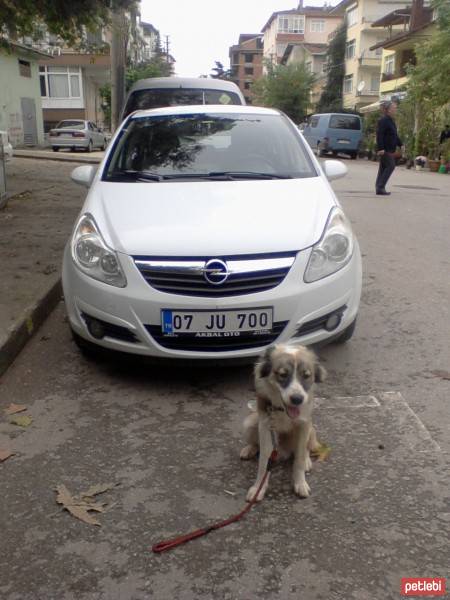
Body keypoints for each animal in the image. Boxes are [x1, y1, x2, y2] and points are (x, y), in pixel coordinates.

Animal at [241, 342, 326, 502]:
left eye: (306, 376)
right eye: (283, 374)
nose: (297, 399)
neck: (281, 409)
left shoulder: (303, 424)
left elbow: (299, 458)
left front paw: (300, 483)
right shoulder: (266, 425)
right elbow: (263, 462)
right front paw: (258, 488)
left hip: (310, 429)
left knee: (305, 448)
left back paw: (307, 460)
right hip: (249, 422)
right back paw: (249, 449)